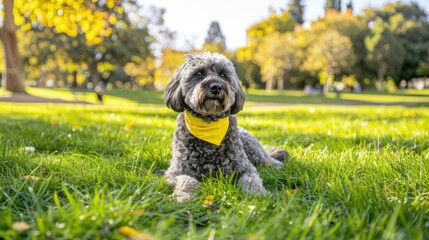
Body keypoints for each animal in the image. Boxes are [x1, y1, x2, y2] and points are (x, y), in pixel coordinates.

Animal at [164, 52, 288, 202]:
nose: (216, 87)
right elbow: (186, 180)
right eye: (199, 73)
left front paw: (257, 194)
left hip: (255, 151)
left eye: (223, 74)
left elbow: (251, 180)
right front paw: (184, 196)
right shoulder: (176, 171)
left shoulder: (245, 167)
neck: (209, 124)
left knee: (269, 160)